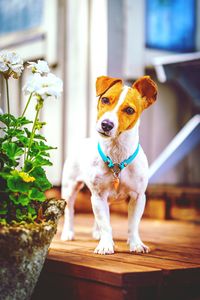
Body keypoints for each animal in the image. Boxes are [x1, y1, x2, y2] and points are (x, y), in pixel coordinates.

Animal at [61, 75, 158, 255]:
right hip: (70, 187)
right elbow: (105, 223)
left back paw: (97, 232)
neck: (117, 155)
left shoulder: (138, 197)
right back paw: (68, 232)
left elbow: (133, 224)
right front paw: (106, 244)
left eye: (129, 110)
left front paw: (135, 243)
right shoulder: (98, 195)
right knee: (70, 210)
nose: (106, 124)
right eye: (105, 99)